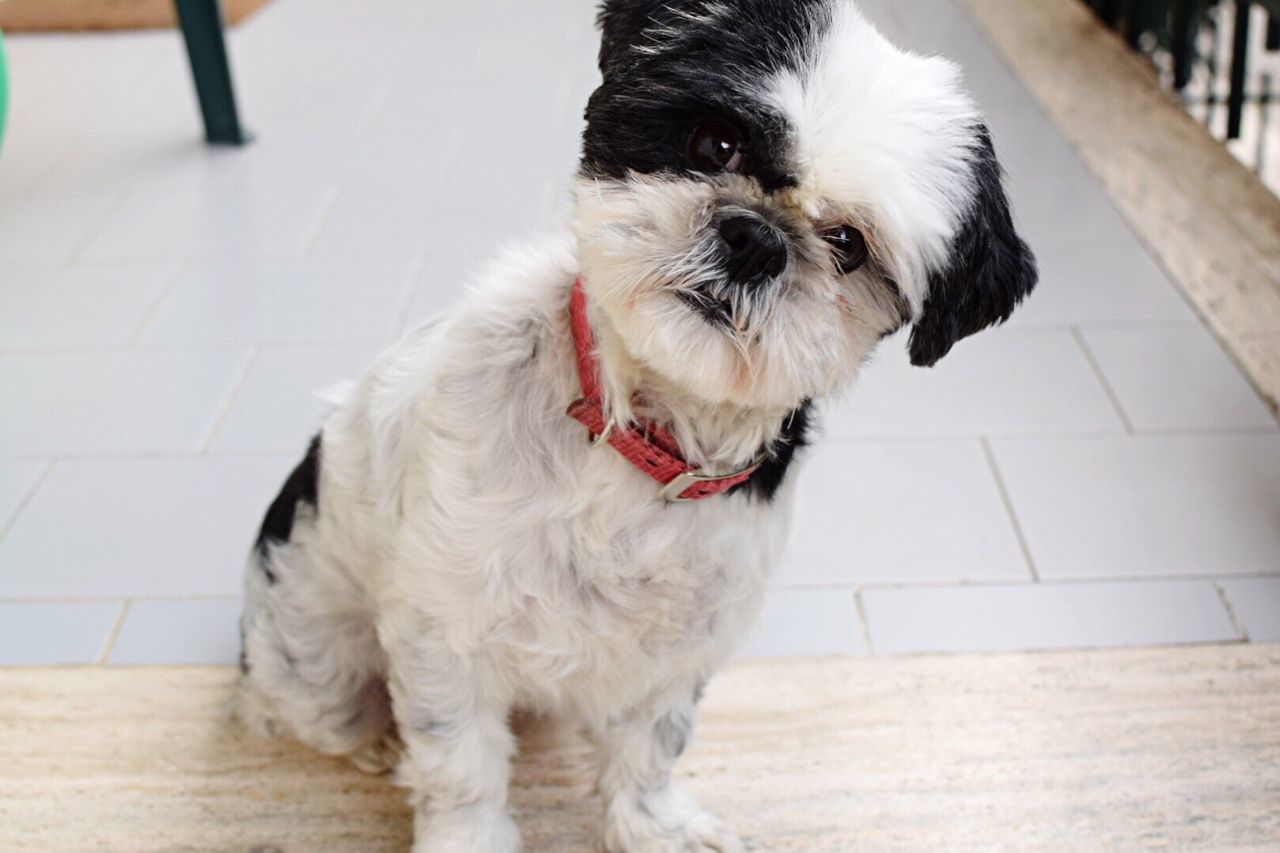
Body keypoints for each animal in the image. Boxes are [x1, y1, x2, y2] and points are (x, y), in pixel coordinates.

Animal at [235, 0, 1039, 845]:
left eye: (849, 244)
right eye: (715, 143)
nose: (755, 238)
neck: (639, 437)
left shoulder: (681, 648)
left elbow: (652, 745)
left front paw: (653, 827)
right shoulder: (443, 632)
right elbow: (460, 767)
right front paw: (469, 835)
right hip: (314, 652)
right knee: (303, 709)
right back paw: (372, 740)